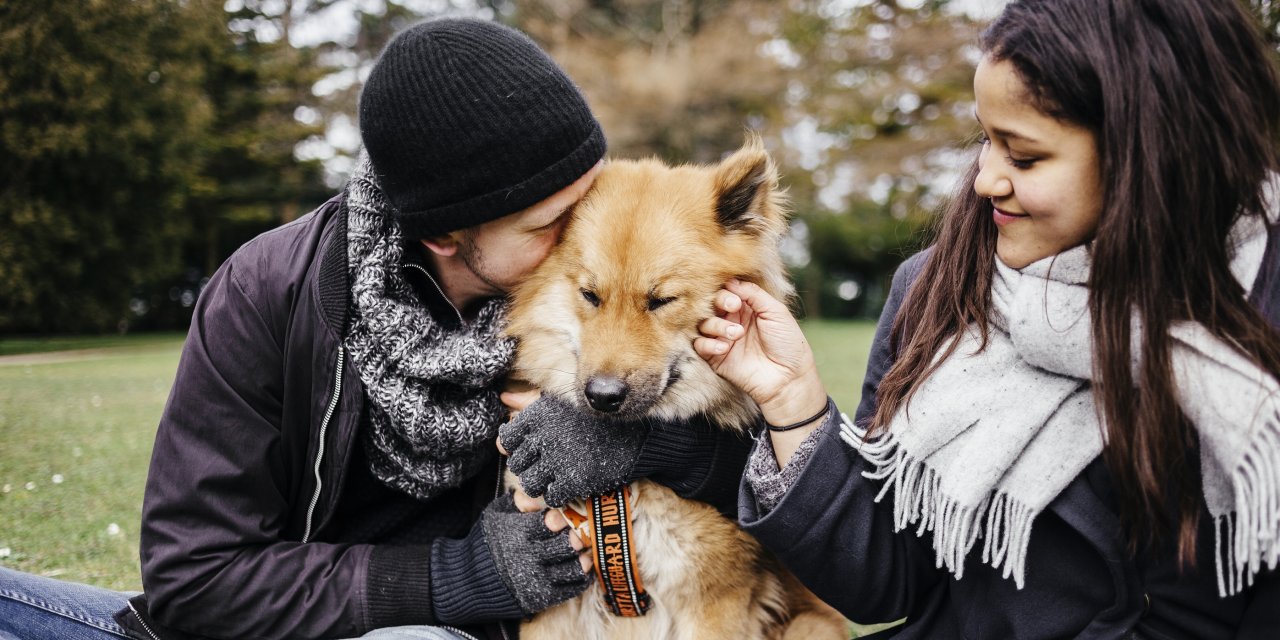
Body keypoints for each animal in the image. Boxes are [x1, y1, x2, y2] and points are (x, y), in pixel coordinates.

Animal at [501, 138, 849, 640]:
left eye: (661, 301)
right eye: (590, 296)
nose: (602, 395)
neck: (621, 488)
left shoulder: (714, 603)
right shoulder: (557, 603)